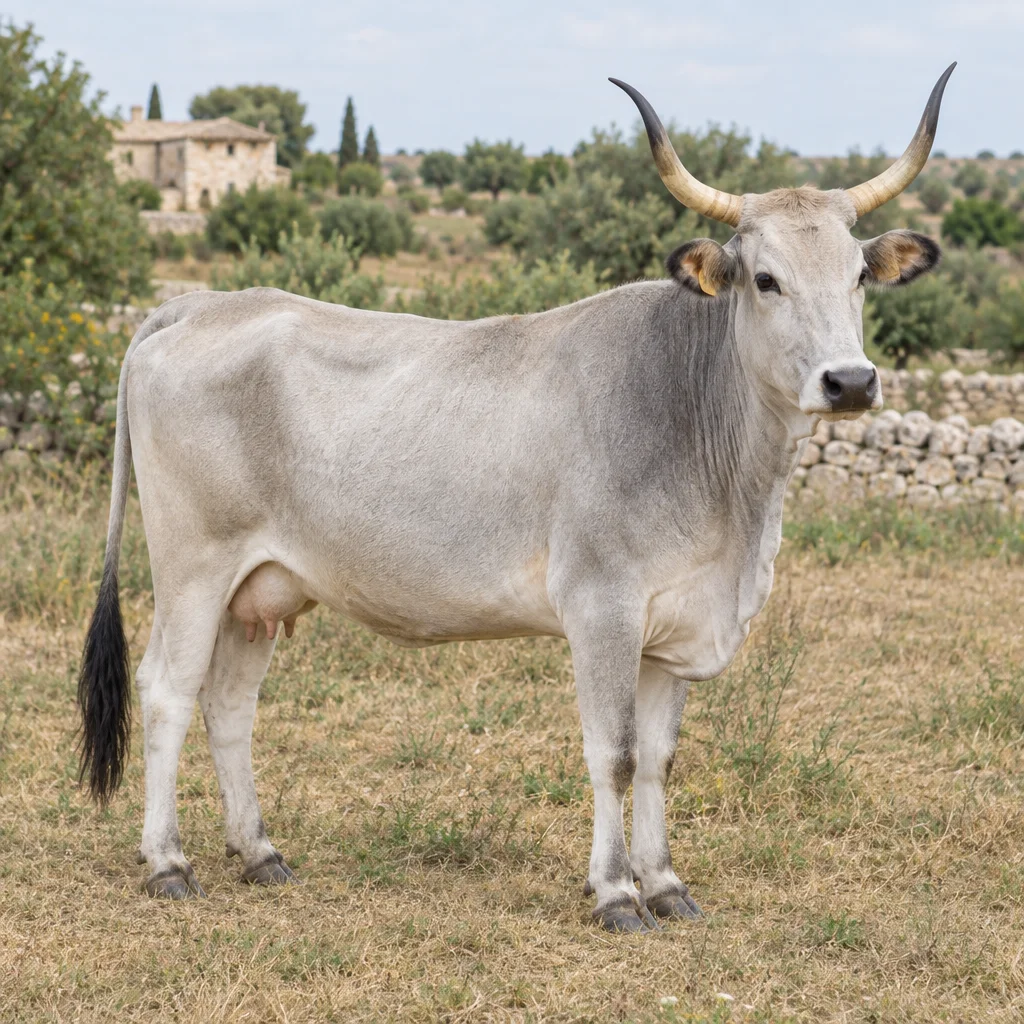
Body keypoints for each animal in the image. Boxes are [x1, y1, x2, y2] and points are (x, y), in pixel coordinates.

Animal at [78, 65, 954, 932]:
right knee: (168, 692)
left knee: (230, 704)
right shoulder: (602, 608)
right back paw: (167, 862)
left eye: (857, 277)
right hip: (193, 570)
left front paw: (666, 883)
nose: (850, 381)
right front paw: (617, 892)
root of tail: (199, 304)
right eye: (766, 280)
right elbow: (614, 754)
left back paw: (259, 852)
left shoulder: (674, 628)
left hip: (258, 588)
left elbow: (659, 760)